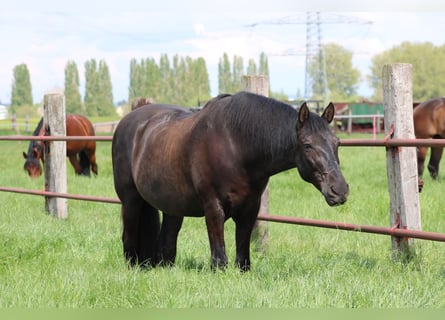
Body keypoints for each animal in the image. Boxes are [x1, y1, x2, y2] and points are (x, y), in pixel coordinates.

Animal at [112, 91, 348, 272]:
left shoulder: (250, 208)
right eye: (307, 145)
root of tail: (131, 120)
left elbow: (242, 252)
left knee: (167, 242)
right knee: (128, 237)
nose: (340, 190)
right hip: (131, 201)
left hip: (172, 207)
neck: (235, 144)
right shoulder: (213, 206)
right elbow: (219, 255)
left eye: (337, 142)